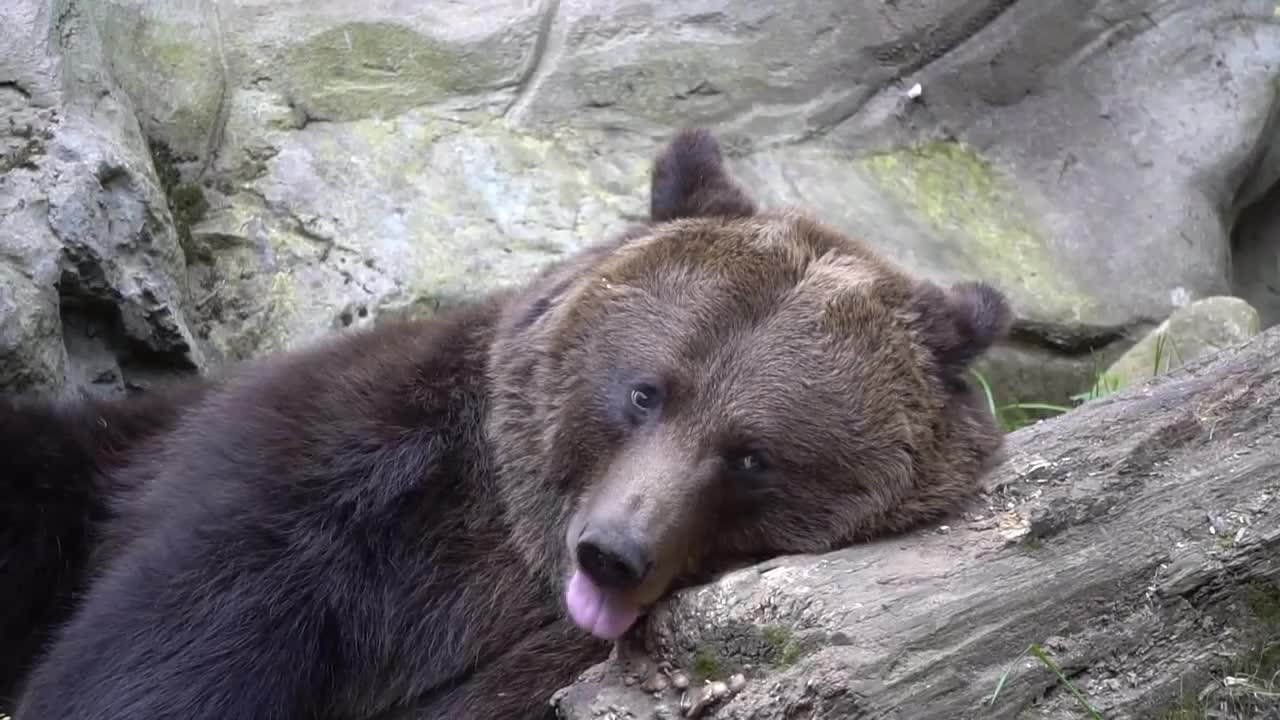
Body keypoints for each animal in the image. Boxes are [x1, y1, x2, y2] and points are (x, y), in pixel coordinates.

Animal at [0, 128, 1008, 717]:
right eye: (646, 391)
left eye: (752, 455)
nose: (612, 551)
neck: (509, 555)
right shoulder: (333, 479)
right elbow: (171, 643)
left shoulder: (536, 659)